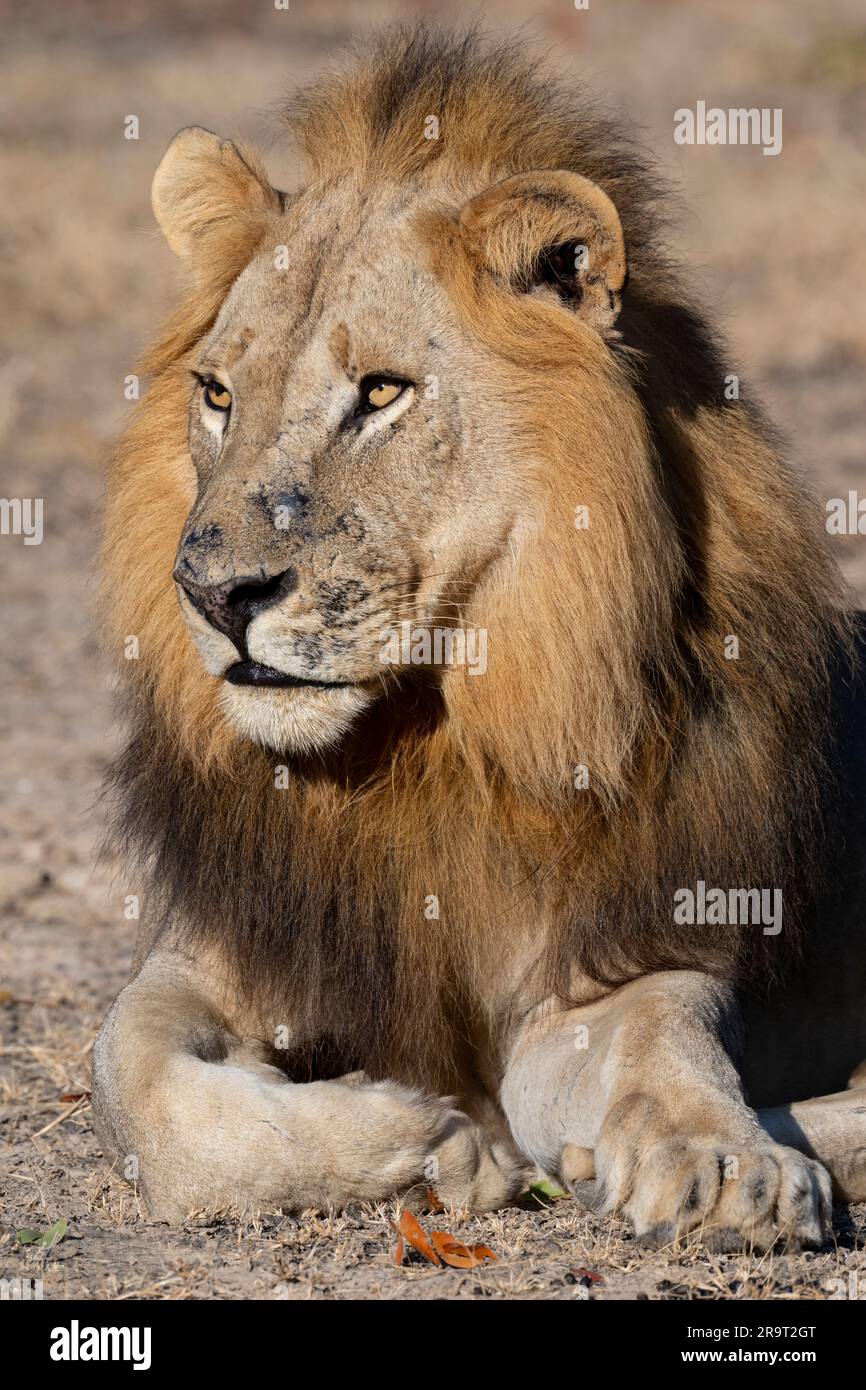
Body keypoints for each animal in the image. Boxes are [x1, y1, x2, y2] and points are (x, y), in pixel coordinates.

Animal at [92, 25, 866, 1247]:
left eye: (381, 392)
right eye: (217, 393)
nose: (214, 594)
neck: (425, 742)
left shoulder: (611, 958)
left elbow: (662, 1032)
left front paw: (719, 1162)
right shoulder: (223, 940)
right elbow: (137, 1079)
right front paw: (430, 1144)